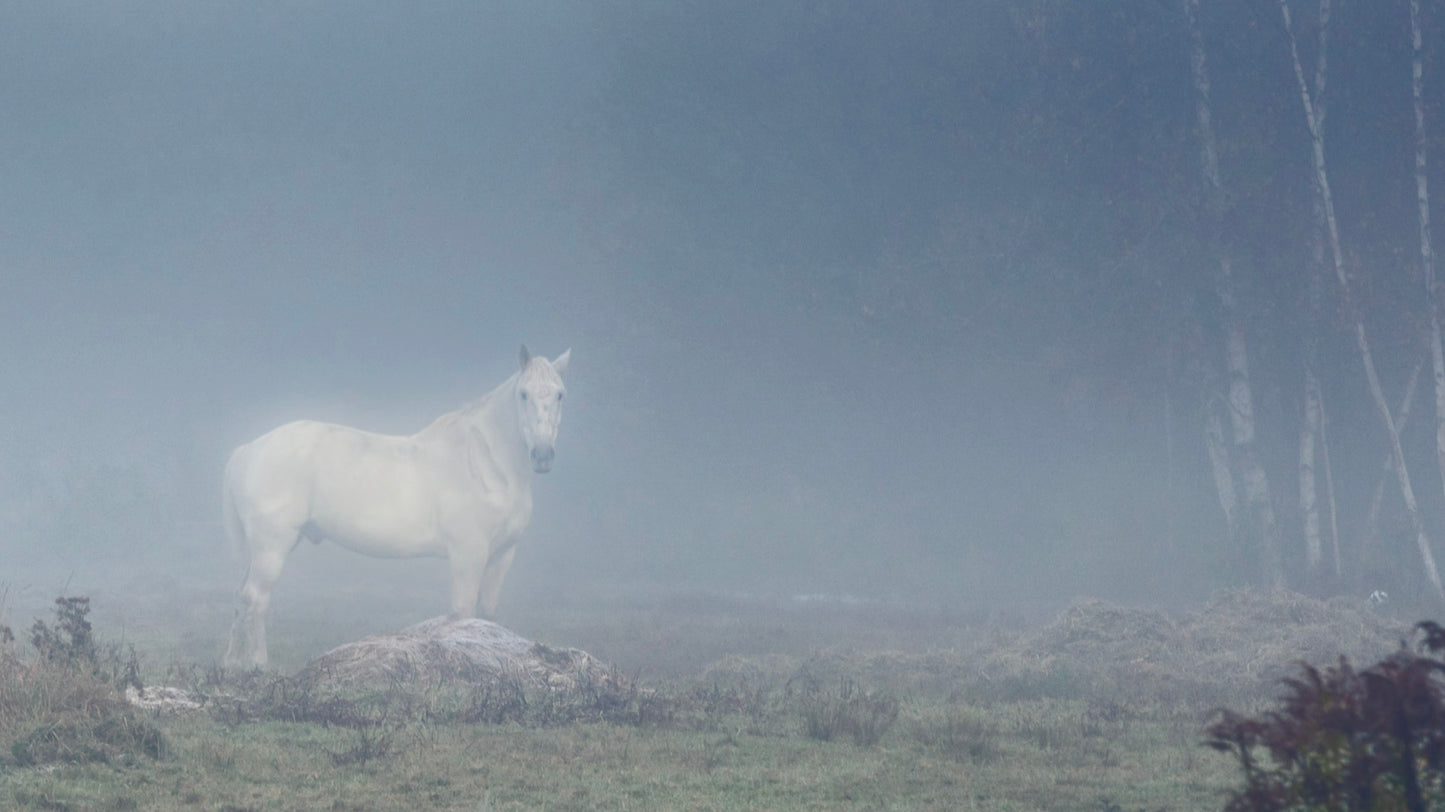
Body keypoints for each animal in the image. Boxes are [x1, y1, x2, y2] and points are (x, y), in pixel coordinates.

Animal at [222, 346, 570, 668]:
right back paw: (258, 664)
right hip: (272, 547)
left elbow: (487, 614)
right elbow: (464, 612)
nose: (542, 455)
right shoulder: (468, 554)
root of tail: (248, 450)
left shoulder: (502, 554)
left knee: (241, 596)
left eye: (560, 394)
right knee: (256, 598)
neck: (483, 461)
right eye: (523, 394)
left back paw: (233, 664)